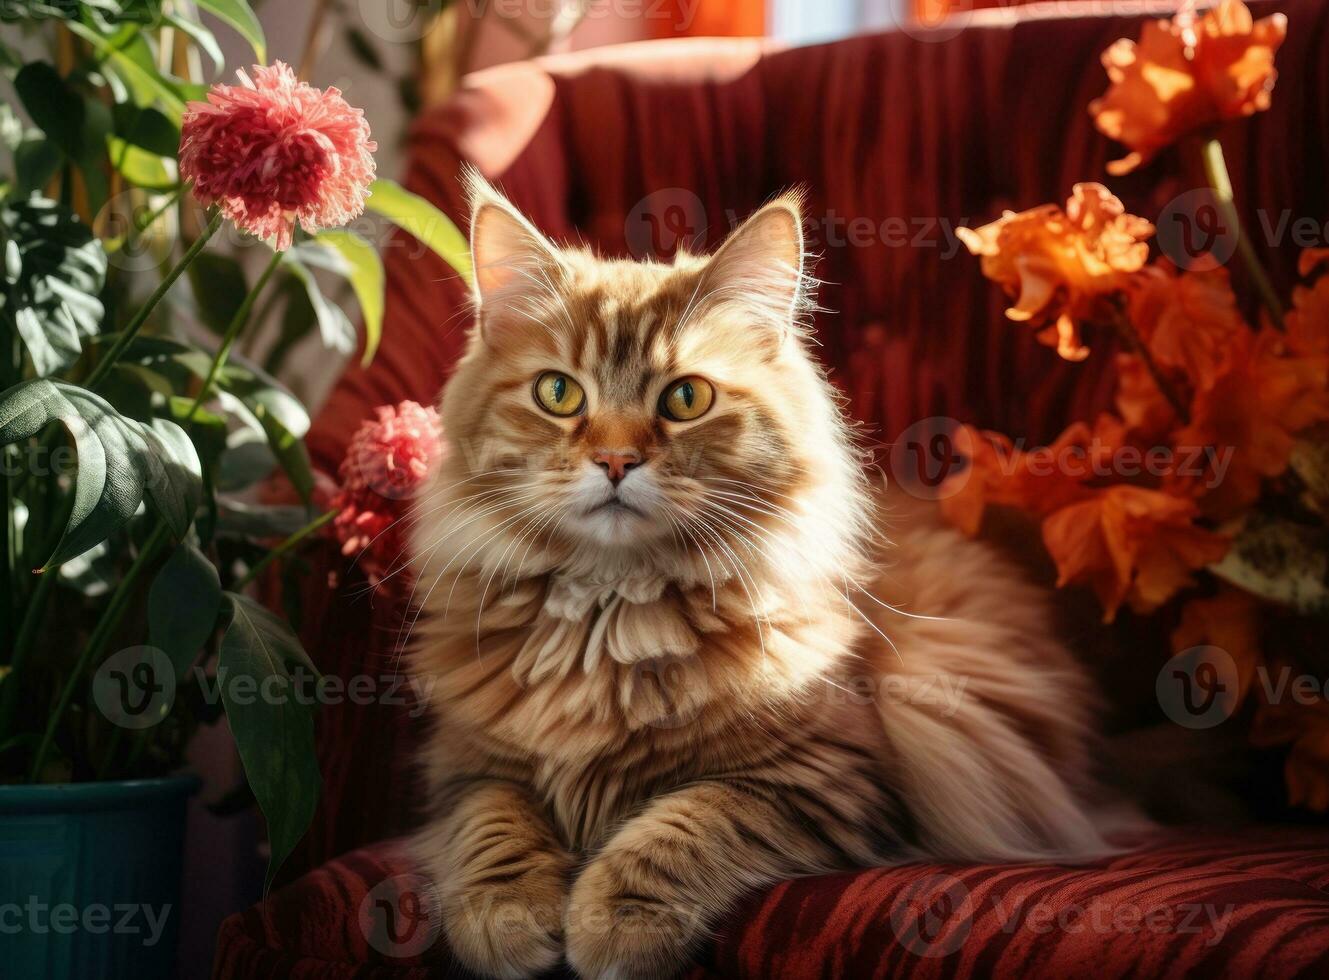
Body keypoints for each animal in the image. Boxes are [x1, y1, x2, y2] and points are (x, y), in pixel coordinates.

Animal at [406, 175, 1132, 978]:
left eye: (685, 399)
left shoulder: (827, 774)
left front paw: (612, 923)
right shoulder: (464, 765)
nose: (616, 461)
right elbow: (490, 823)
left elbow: (686, 826)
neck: (613, 620)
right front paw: (504, 917)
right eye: (558, 394)